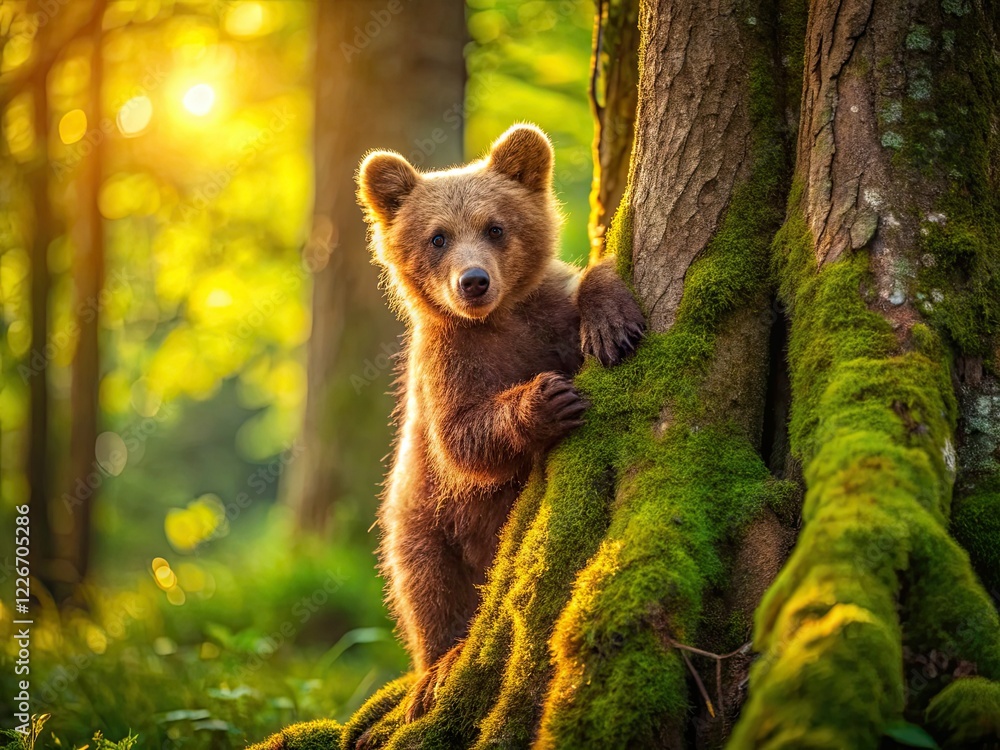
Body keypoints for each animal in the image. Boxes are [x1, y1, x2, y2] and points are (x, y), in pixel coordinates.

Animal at [356, 123, 645, 721]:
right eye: (438, 237)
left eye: (495, 226)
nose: (473, 281)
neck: (497, 322)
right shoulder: (447, 366)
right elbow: (463, 440)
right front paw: (547, 400)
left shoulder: (544, 316)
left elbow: (586, 282)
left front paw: (611, 323)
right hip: (421, 523)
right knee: (426, 593)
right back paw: (436, 670)